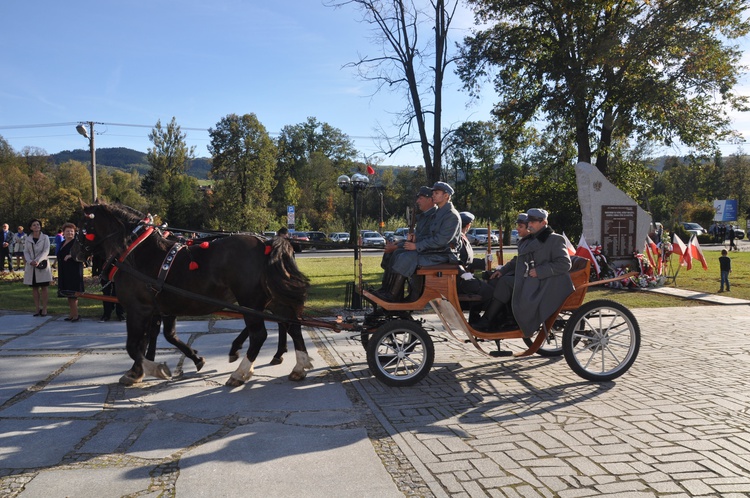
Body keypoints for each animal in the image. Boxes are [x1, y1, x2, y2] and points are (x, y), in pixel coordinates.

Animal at [72, 200, 312, 388]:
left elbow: (133, 345)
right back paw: (298, 366)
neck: (136, 252)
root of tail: (267, 242)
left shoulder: (137, 308)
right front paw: (138, 372)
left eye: (83, 226)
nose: (74, 253)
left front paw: (154, 368)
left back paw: (240, 372)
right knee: (291, 324)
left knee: (260, 334)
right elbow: (155, 339)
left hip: (250, 302)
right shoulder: (157, 308)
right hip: (270, 299)